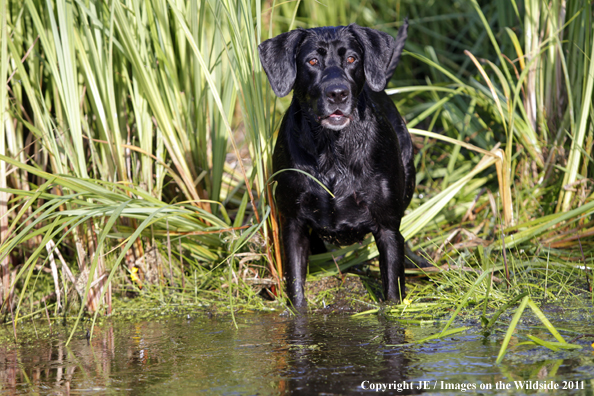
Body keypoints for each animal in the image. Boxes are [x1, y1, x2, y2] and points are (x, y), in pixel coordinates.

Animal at [256, 20, 414, 308]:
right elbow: (296, 288)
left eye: (351, 58)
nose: (337, 93)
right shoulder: (293, 225)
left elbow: (392, 293)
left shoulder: (388, 230)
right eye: (312, 61)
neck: (332, 151)